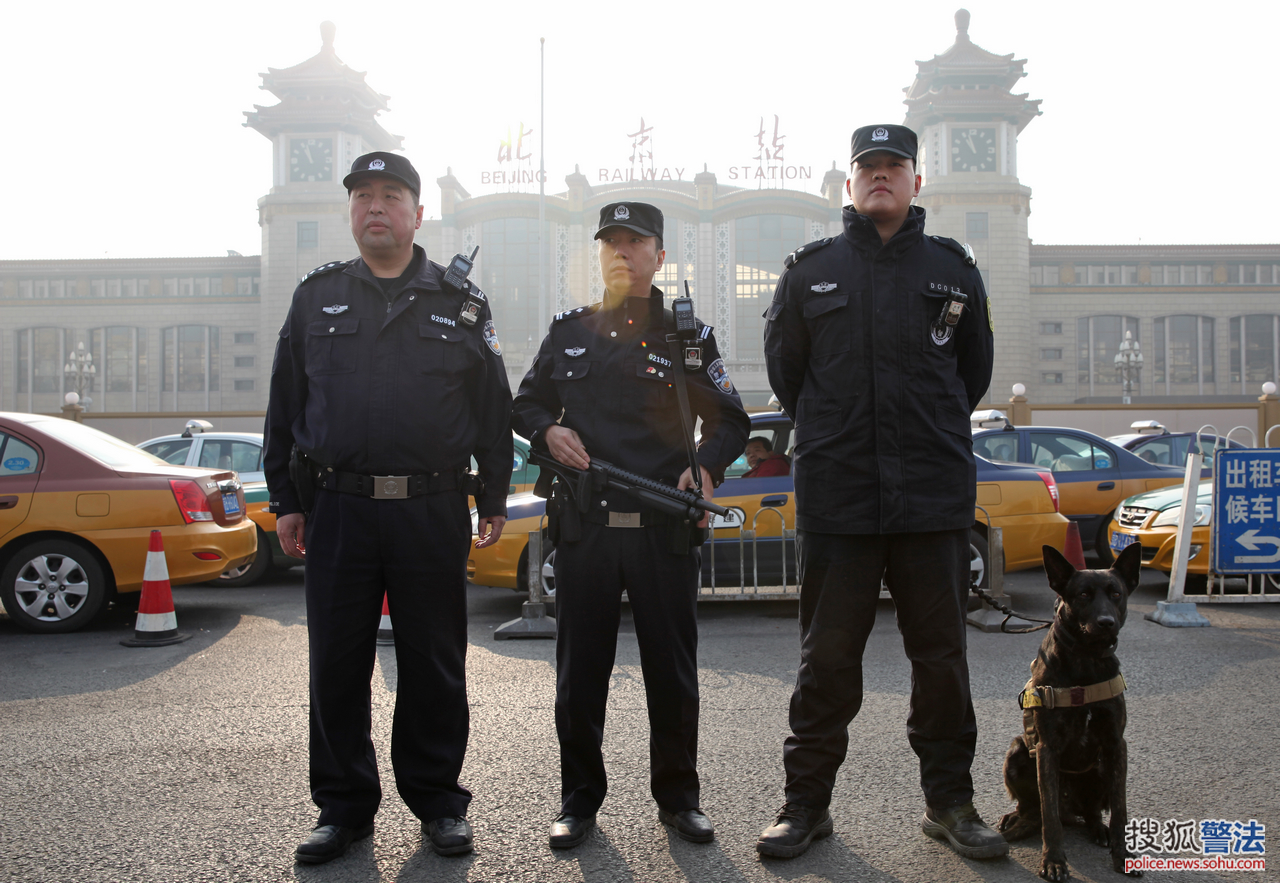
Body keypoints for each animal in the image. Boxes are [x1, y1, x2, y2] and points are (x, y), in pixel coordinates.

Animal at [993, 540, 1146, 875]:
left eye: (1116, 593)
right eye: (1083, 595)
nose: (1106, 623)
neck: (1086, 660)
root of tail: (1070, 809)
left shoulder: (1116, 745)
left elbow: (1120, 810)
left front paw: (1122, 855)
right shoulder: (1047, 748)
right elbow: (1049, 816)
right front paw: (1053, 860)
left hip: (1100, 768)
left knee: (1090, 813)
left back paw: (1097, 829)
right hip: (1017, 752)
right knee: (1035, 809)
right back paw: (1016, 819)